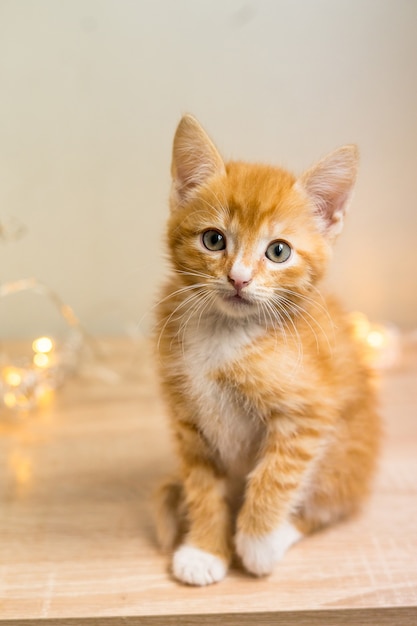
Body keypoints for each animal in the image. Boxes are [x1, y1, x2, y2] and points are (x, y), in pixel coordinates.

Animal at [154, 113, 380, 584]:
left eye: (278, 251)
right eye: (214, 240)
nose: (238, 278)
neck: (225, 332)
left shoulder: (309, 414)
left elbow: (276, 477)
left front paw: (255, 543)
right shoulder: (189, 422)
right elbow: (202, 485)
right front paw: (205, 549)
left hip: (346, 453)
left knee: (325, 505)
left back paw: (279, 537)